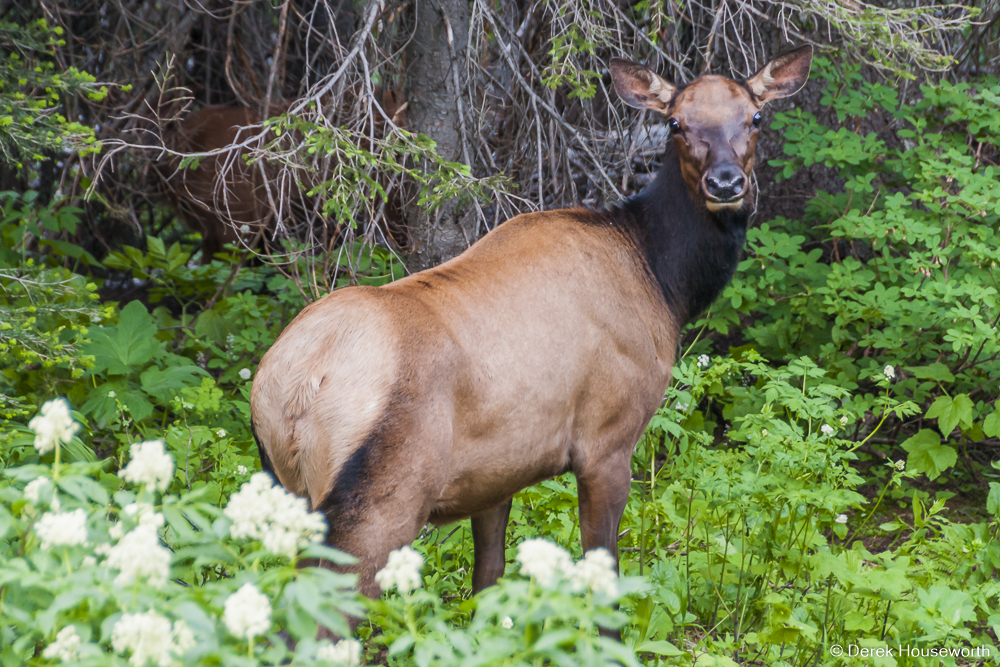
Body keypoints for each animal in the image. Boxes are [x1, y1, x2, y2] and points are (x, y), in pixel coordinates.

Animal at [250, 45, 812, 628]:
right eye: (677, 122)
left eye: (756, 116)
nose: (725, 183)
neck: (663, 279)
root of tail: (295, 387)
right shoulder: (607, 441)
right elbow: (602, 579)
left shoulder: (495, 473)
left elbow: (488, 585)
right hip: (382, 499)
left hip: (287, 490)